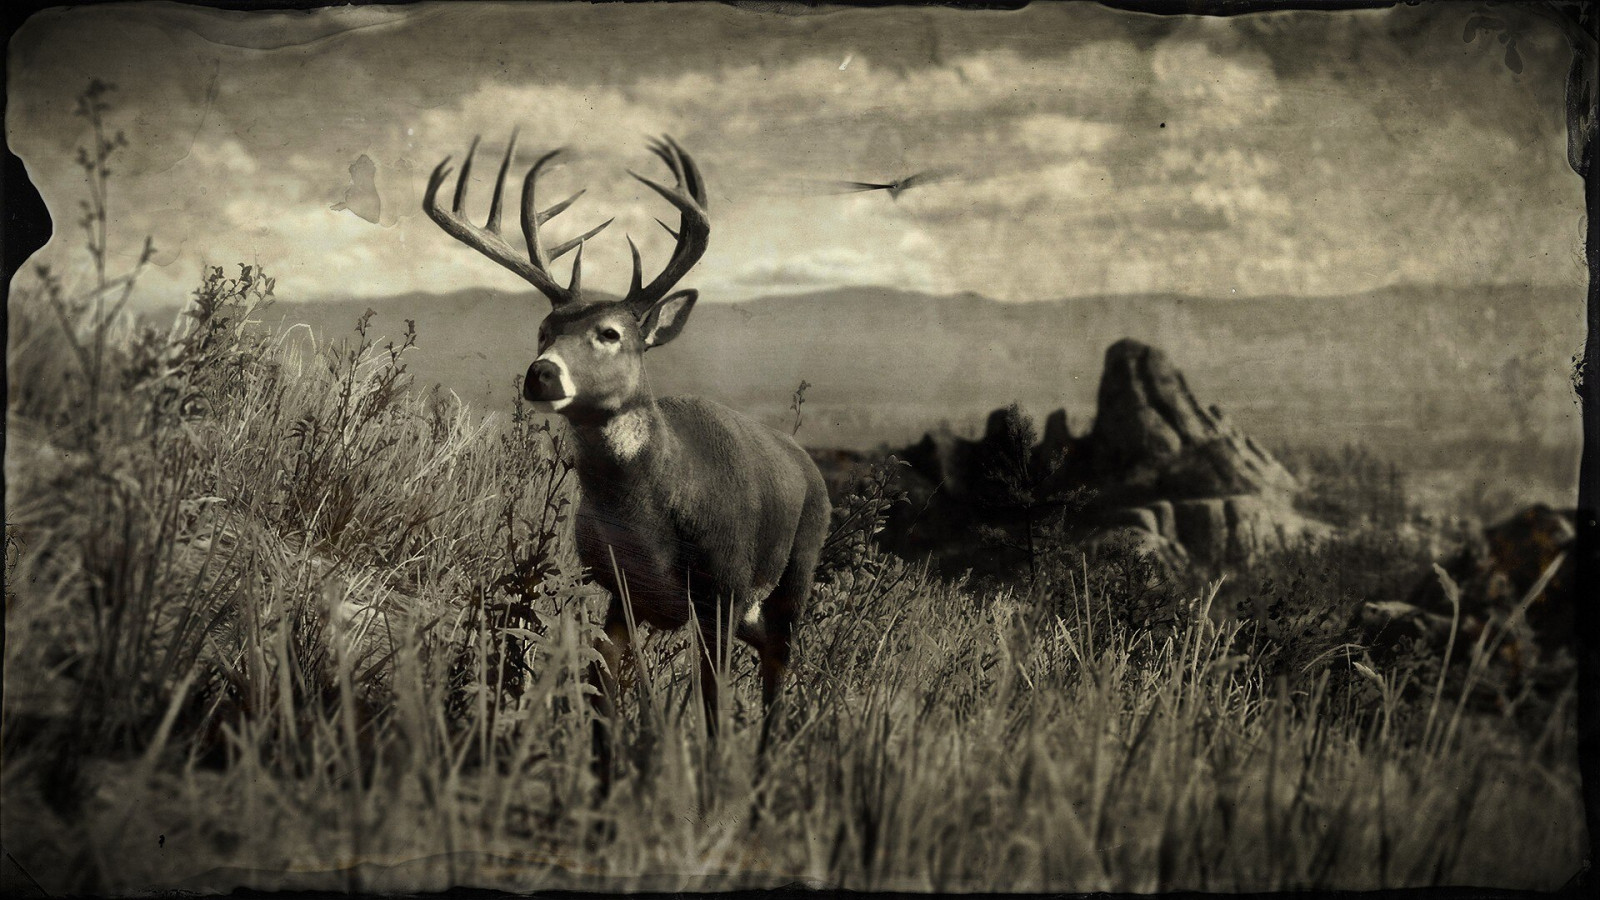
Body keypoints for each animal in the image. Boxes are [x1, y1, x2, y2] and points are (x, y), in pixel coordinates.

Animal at [424, 132, 830, 794]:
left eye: (610, 333)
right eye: (543, 329)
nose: (541, 374)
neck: (649, 521)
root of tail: (808, 464)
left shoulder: (719, 593)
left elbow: (712, 712)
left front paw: (710, 786)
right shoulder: (620, 592)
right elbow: (600, 697)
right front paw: (603, 788)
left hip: (793, 571)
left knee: (778, 667)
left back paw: (765, 773)